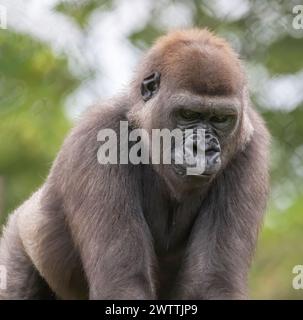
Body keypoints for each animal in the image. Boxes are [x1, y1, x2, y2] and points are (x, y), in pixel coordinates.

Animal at [0, 29, 270, 300]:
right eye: (188, 114)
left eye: (220, 119)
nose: (202, 149)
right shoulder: (98, 133)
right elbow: (123, 283)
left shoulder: (251, 146)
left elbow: (211, 283)